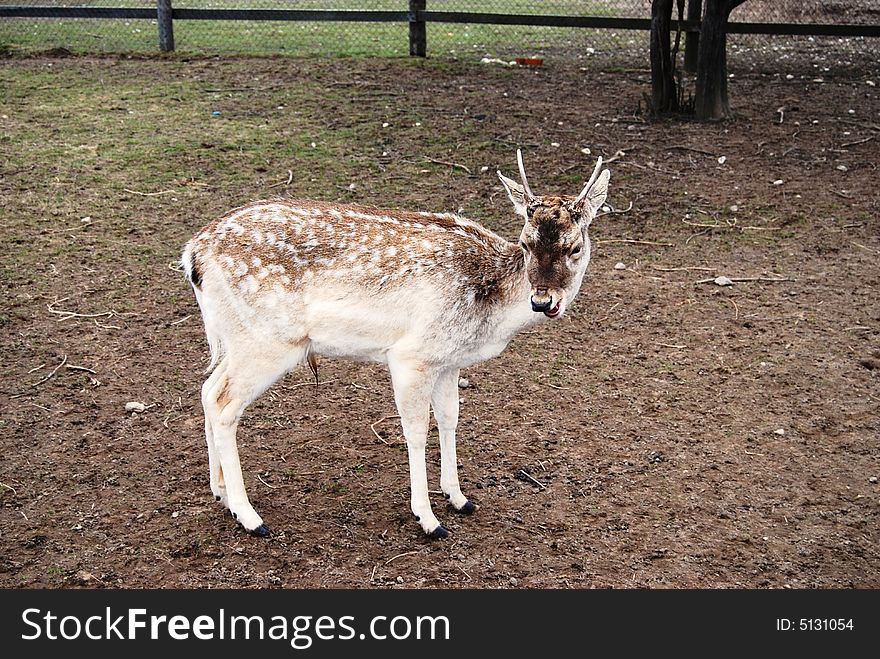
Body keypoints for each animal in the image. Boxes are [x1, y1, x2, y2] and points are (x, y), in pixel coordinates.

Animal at [182, 151, 608, 540]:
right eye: (525, 243)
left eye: (575, 248)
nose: (543, 301)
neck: (490, 309)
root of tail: (192, 256)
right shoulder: (412, 355)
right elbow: (416, 430)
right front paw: (428, 519)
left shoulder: (448, 360)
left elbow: (450, 418)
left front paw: (458, 498)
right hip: (267, 340)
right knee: (223, 404)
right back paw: (250, 516)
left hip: (235, 339)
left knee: (206, 389)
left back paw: (220, 493)